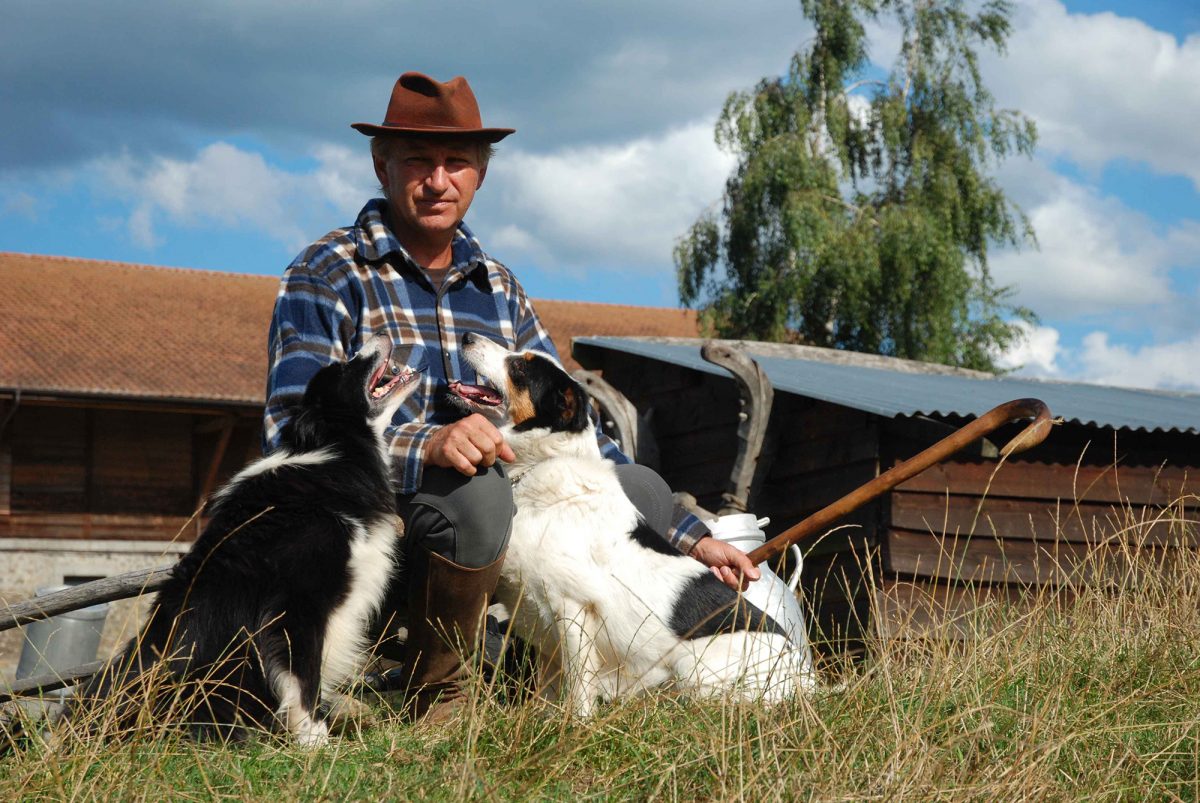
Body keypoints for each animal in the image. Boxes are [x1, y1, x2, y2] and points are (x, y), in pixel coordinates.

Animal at [71, 333, 417, 744]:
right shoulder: (297, 601)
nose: (379, 335)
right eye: (345, 366)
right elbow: (303, 677)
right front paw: (314, 740)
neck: (334, 449)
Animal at [451, 331, 816, 715]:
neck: (539, 466)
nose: (467, 336)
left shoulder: (574, 610)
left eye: (520, 367)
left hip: (694, 674)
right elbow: (548, 691)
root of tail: (804, 680)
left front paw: (576, 723)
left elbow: (578, 690)